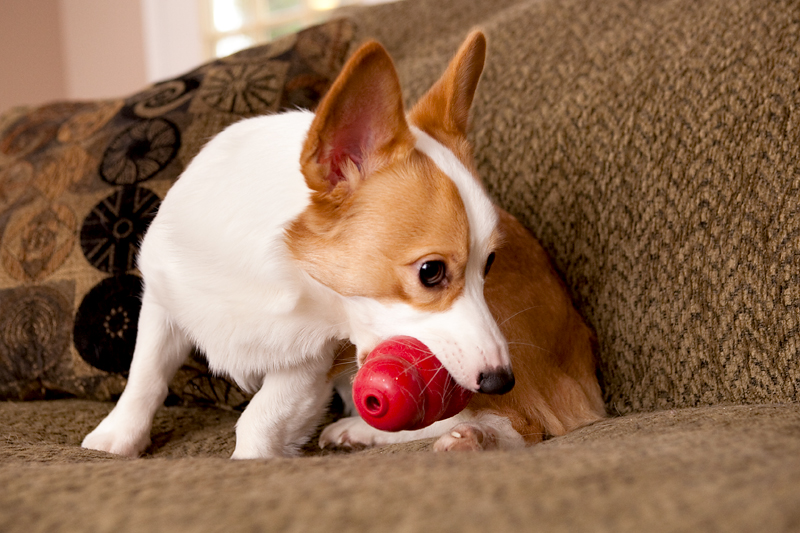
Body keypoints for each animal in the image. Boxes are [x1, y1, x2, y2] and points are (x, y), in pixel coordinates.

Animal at [83, 32, 608, 458]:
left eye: (490, 264)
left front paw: (250, 463)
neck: (278, 269)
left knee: (522, 423)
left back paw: (453, 438)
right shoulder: (162, 305)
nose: (502, 379)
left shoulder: (306, 367)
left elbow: (257, 421)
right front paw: (116, 441)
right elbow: (144, 378)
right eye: (431, 272)